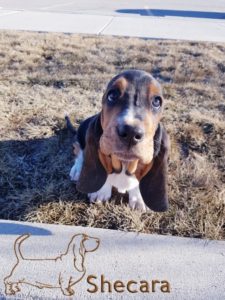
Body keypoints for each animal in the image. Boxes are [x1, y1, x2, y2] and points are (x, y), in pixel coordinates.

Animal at [68, 69, 169, 212]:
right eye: (112, 95)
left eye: (157, 101)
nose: (131, 133)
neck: (124, 164)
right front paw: (101, 191)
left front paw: (139, 198)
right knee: (79, 149)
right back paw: (77, 169)